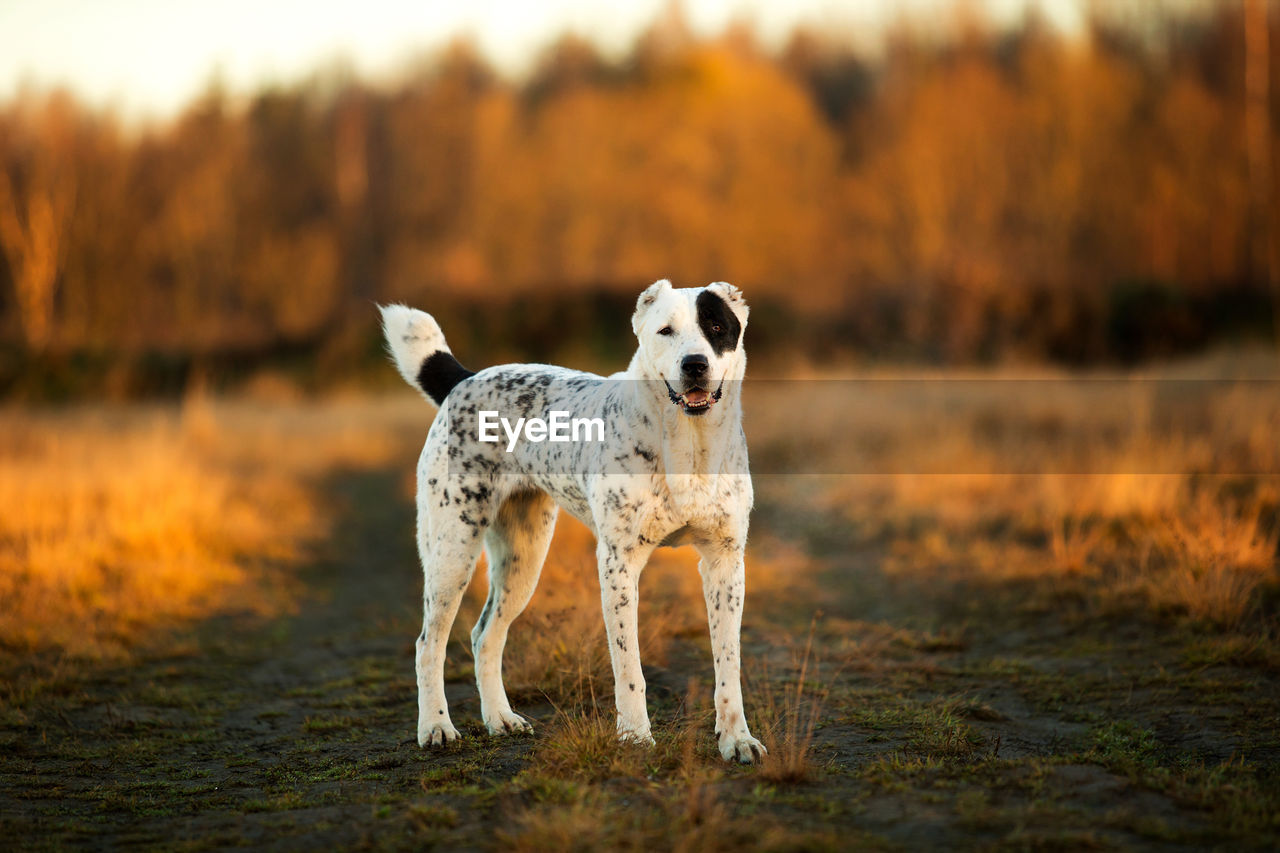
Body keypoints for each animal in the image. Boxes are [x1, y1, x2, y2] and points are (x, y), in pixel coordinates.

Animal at [373, 280, 762, 763]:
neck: (688, 446)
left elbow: (728, 663)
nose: (695, 364)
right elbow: (628, 667)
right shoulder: (618, 564)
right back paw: (436, 727)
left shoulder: (725, 564)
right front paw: (635, 737)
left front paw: (736, 739)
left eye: (716, 327)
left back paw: (500, 719)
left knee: (485, 635)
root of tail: (464, 379)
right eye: (665, 331)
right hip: (453, 552)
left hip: (523, 561)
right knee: (429, 643)